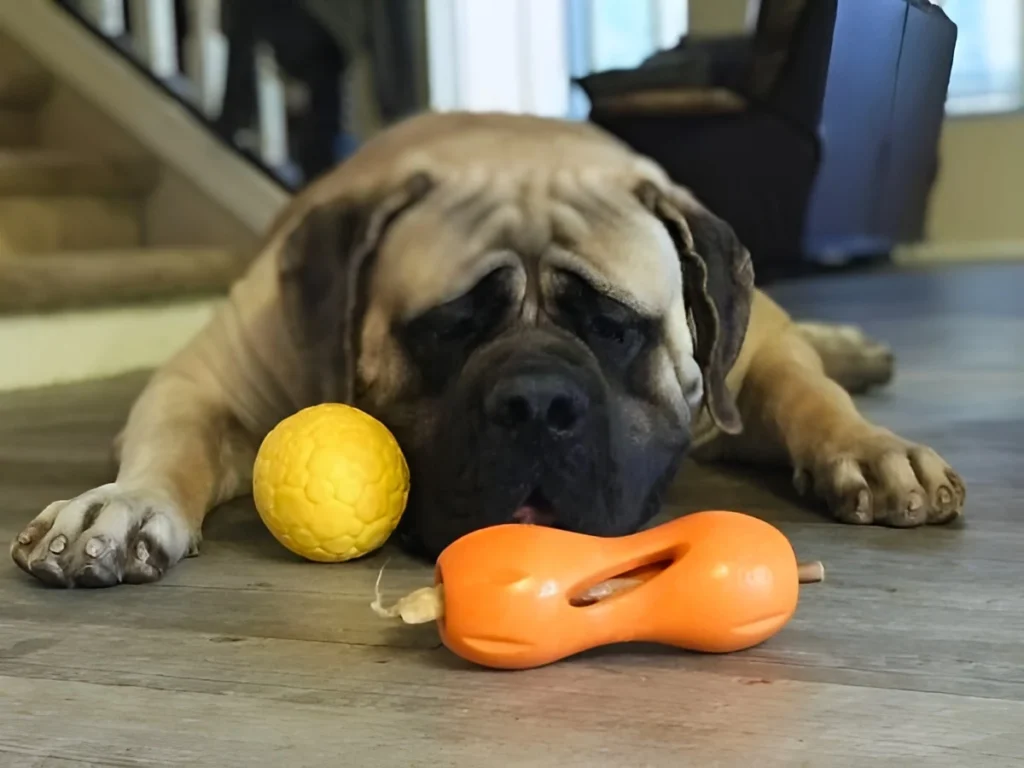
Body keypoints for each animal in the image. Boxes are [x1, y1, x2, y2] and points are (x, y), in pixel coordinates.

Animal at [9, 109, 966, 589]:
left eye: (615, 326)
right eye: (448, 326)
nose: (537, 404)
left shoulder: (750, 361)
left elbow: (802, 392)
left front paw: (871, 452)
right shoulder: (204, 379)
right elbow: (174, 440)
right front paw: (123, 506)